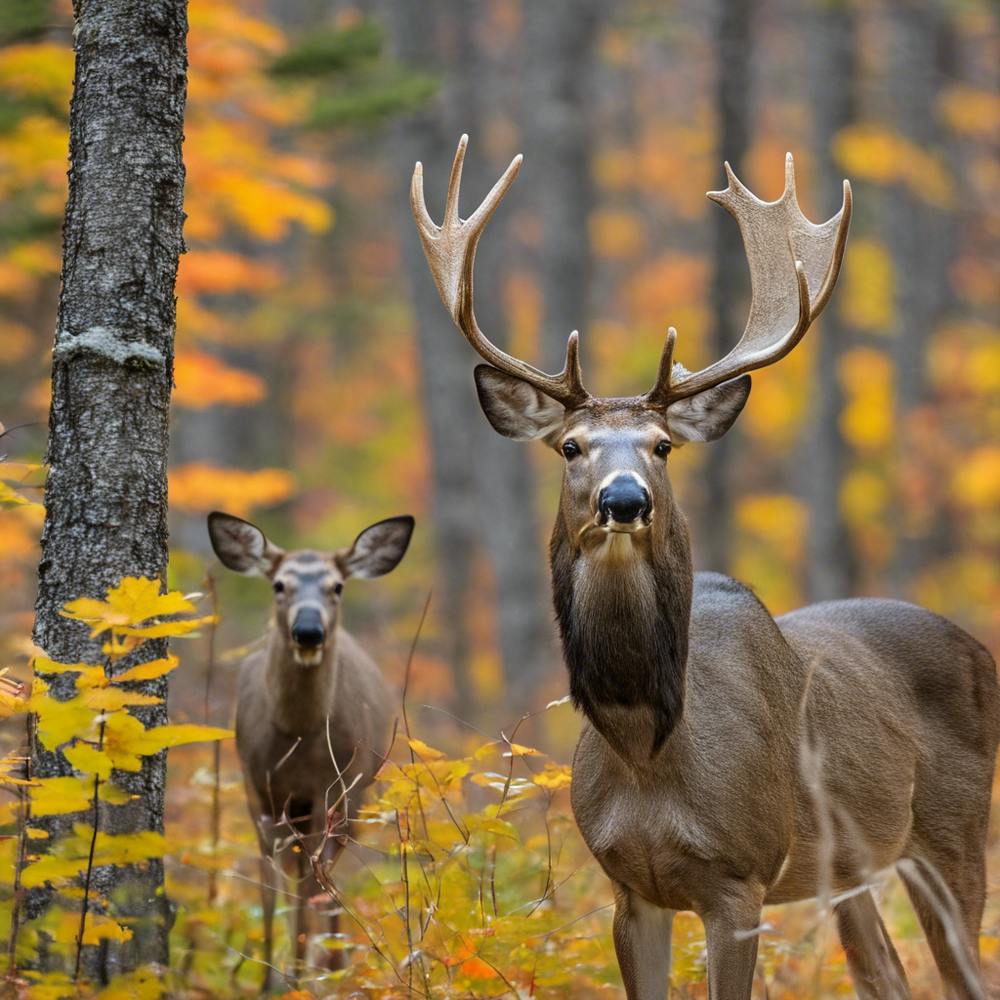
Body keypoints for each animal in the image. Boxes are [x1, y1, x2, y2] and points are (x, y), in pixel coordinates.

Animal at [207, 510, 414, 989]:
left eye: (336, 586)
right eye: (278, 585)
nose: (307, 630)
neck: (297, 736)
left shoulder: (330, 787)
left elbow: (311, 885)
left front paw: (301, 974)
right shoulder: (258, 789)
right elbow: (269, 887)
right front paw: (271, 977)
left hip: (353, 795)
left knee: (326, 877)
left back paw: (332, 966)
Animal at [410, 136, 1000, 1000]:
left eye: (662, 446)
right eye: (570, 446)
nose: (625, 499)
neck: (648, 753)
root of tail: (975, 644)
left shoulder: (740, 877)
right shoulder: (629, 887)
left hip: (953, 830)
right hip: (849, 866)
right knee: (886, 975)